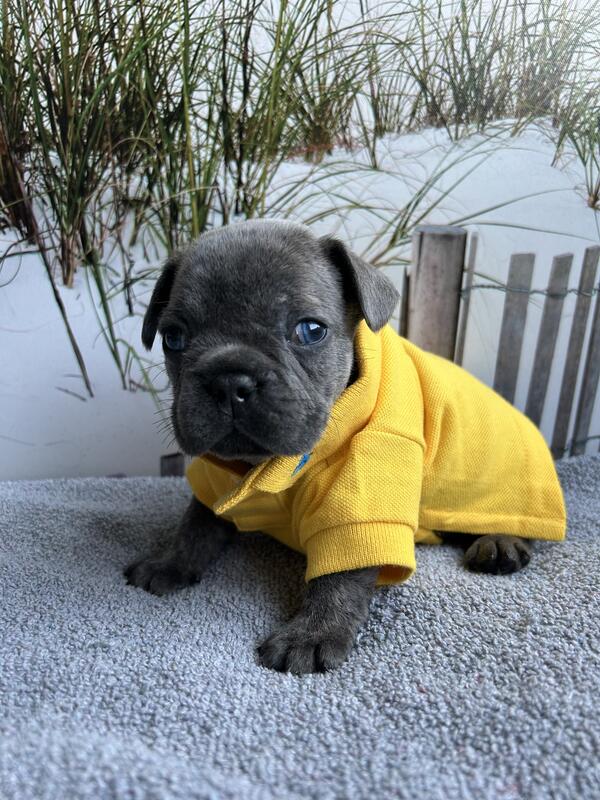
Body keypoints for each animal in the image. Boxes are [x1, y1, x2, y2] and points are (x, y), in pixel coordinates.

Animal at [125, 219, 566, 674]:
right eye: (173, 338)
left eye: (310, 330)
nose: (229, 380)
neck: (267, 466)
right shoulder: (216, 480)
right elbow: (196, 522)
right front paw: (171, 560)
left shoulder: (358, 510)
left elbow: (339, 575)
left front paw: (312, 633)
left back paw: (500, 543)